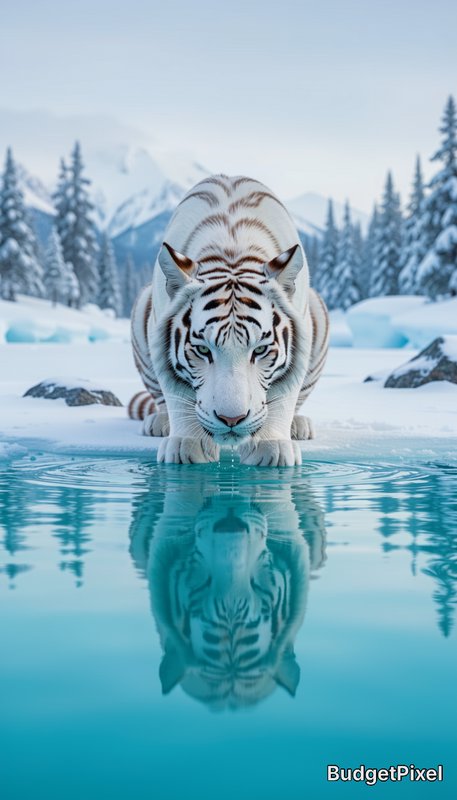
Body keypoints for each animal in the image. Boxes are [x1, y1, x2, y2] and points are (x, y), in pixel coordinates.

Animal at [128, 174, 329, 465]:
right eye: (203, 350)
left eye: (260, 349)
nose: (231, 419)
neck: (232, 251)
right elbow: (175, 391)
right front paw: (188, 445)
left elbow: (286, 393)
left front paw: (272, 448)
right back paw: (160, 422)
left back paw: (298, 426)